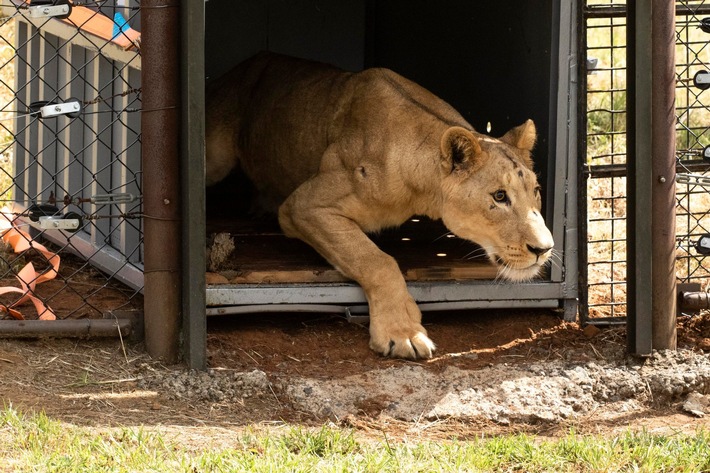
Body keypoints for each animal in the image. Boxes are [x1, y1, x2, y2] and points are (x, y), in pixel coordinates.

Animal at [206, 52, 555, 359]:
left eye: (536, 191)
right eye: (499, 196)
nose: (544, 249)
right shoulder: (303, 206)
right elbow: (377, 261)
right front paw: (402, 332)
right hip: (217, 156)